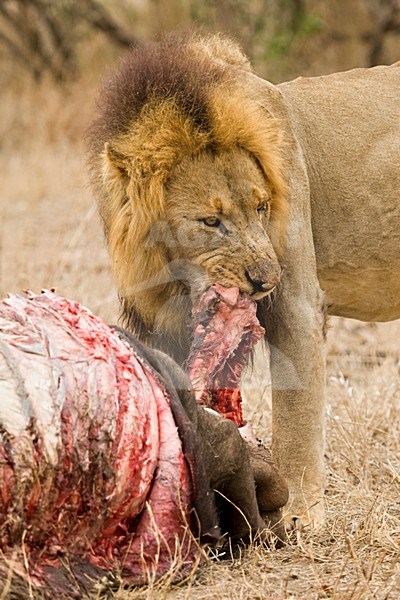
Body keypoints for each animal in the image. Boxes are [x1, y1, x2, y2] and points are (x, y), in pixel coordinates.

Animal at [88, 32, 400, 528]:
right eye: (210, 221)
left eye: (261, 207)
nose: (267, 280)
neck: (178, 283)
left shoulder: (298, 305)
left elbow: (296, 416)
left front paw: (299, 516)